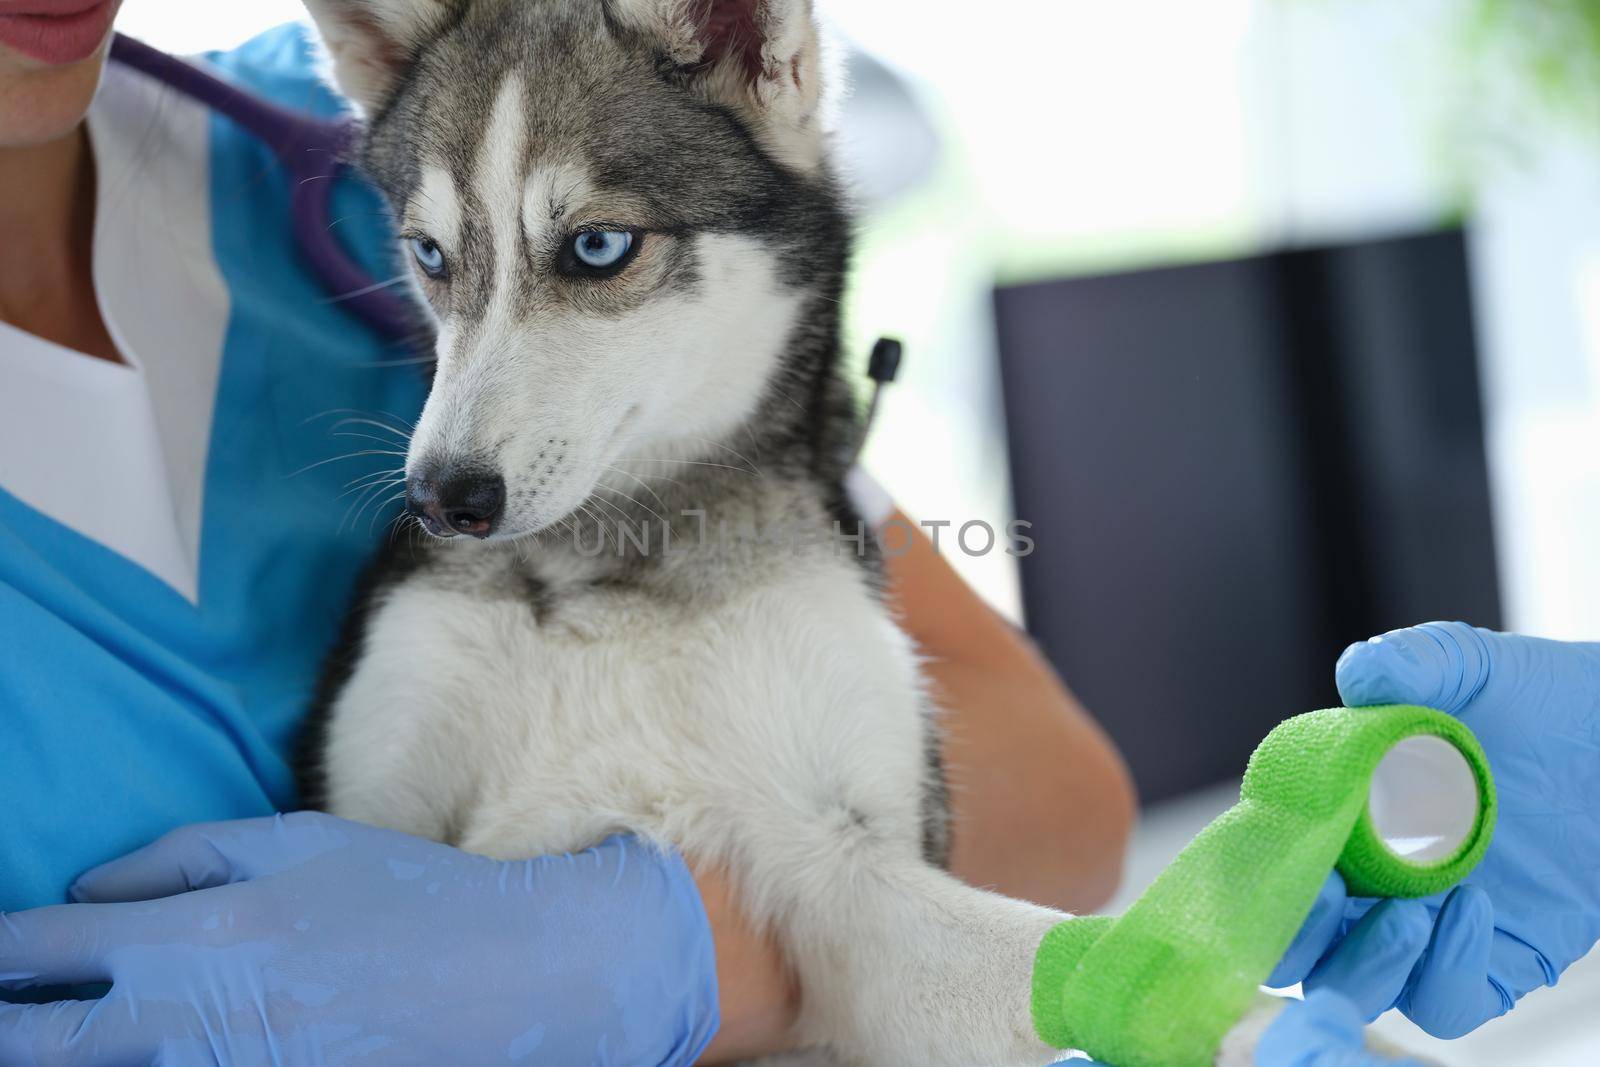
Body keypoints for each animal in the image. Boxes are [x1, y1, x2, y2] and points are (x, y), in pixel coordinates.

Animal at [294, 2, 1273, 1067]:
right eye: (429, 255)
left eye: (598, 247)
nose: (443, 496)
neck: (619, 565)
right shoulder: (379, 802)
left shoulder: (842, 860)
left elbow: (1065, 962)